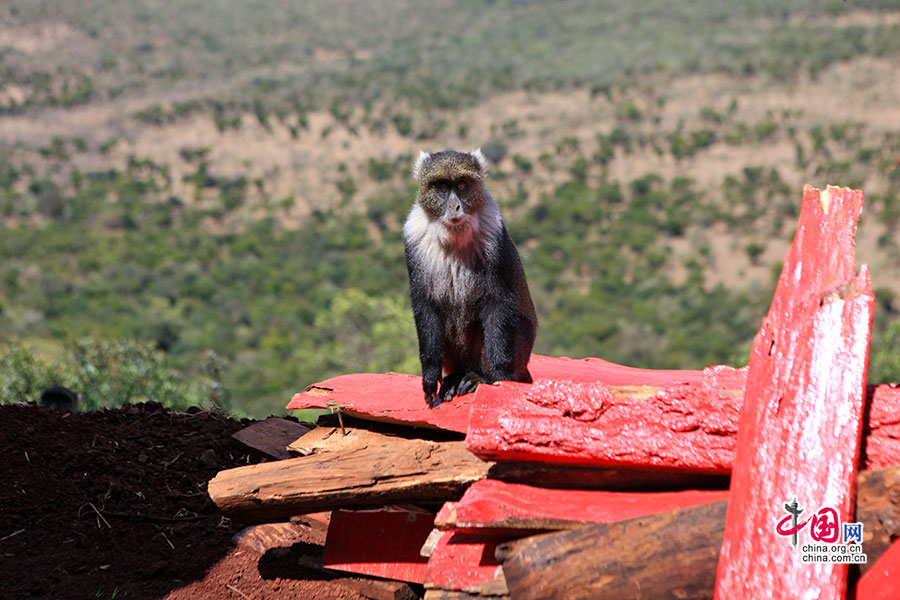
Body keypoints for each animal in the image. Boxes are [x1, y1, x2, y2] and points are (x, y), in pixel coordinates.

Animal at [400, 149, 536, 408]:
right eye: (443, 187)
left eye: (462, 185)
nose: (455, 206)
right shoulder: (413, 242)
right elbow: (425, 304)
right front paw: (430, 376)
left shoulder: (494, 236)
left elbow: (498, 301)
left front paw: (499, 378)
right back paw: (455, 377)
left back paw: (479, 377)